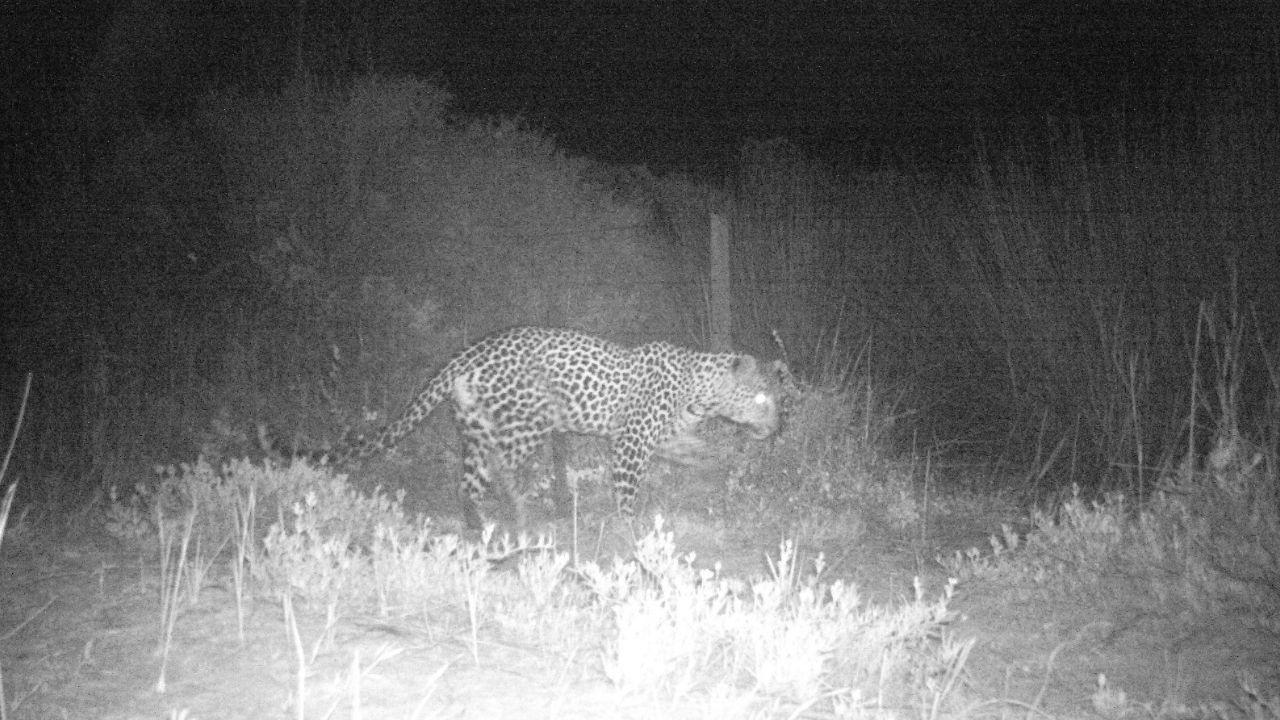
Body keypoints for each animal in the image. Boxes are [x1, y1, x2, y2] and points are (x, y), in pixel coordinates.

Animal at [263, 326, 786, 528]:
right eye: (763, 398)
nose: (779, 428)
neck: (700, 390)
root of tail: (466, 355)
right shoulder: (631, 441)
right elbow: (627, 489)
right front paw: (631, 527)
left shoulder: (667, 434)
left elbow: (694, 451)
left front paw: (722, 465)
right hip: (521, 427)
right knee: (490, 474)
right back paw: (515, 514)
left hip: (477, 425)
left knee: (471, 477)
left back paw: (487, 522)